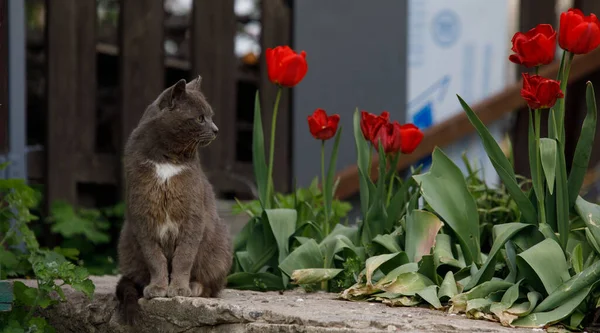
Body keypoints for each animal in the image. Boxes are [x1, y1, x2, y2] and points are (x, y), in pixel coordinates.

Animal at [115, 76, 232, 322]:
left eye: (211, 115)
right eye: (200, 118)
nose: (216, 129)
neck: (167, 159)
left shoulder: (193, 217)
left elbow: (184, 257)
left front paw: (179, 289)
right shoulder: (143, 217)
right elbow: (155, 258)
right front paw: (158, 288)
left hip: (220, 244)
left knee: (213, 287)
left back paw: (194, 287)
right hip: (126, 240)